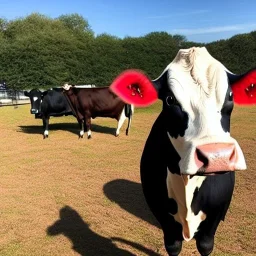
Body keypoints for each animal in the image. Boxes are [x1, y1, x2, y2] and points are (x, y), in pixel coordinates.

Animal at [110, 46, 256, 256]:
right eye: (170, 99)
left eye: (230, 96)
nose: (217, 156)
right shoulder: (162, 214)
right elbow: (173, 246)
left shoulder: (214, 215)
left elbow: (205, 245)